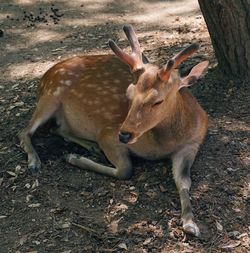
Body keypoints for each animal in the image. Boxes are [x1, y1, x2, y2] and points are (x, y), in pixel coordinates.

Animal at [18, 24, 208, 236]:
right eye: (129, 93)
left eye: (158, 101)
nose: (124, 134)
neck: (164, 144)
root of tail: (45, 75)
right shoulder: (107, 133)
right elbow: (125, 170)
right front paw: (73, 158)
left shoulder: (193, 143)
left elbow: (184, 181)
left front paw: (190, 223)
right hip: (50, 96)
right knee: (24, 131)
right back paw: (35, 161)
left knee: (58, 130)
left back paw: (89, 146)